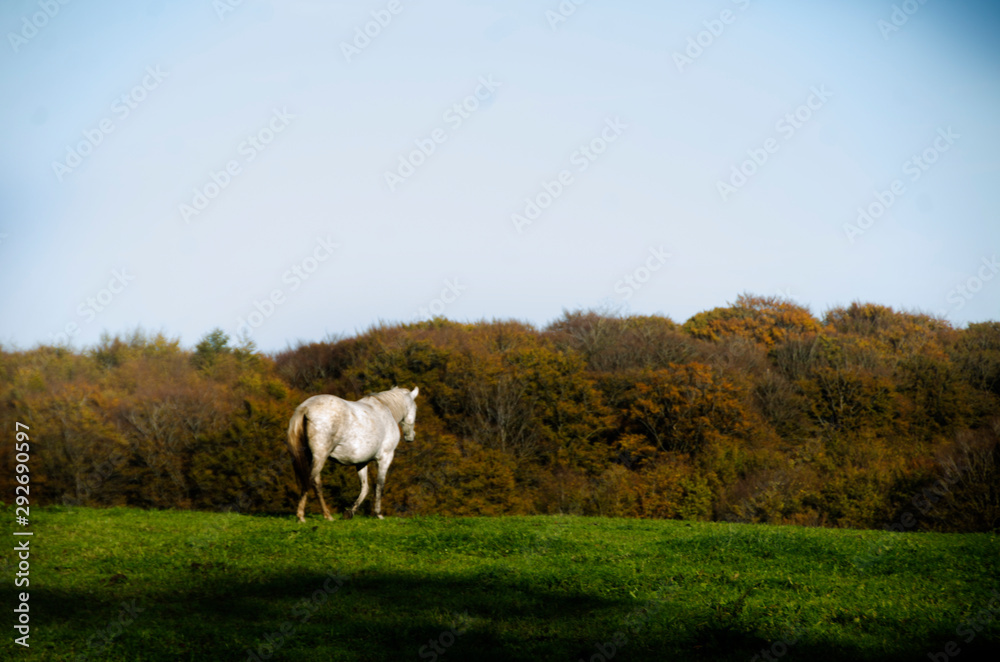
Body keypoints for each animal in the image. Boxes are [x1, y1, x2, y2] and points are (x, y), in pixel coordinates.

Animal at [286, 386, 419, 523]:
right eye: (415, 408)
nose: (411, 436)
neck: (385, 408)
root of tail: (306, 407)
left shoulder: (361, 462)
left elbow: (365, 488)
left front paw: (350, 512)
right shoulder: (385, 458)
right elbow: (379, 486)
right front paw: (378, 514)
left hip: (312, 457)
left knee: (316, 484)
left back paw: (327, 515)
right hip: (320, 457)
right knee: (310, 480)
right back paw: (301, 516)